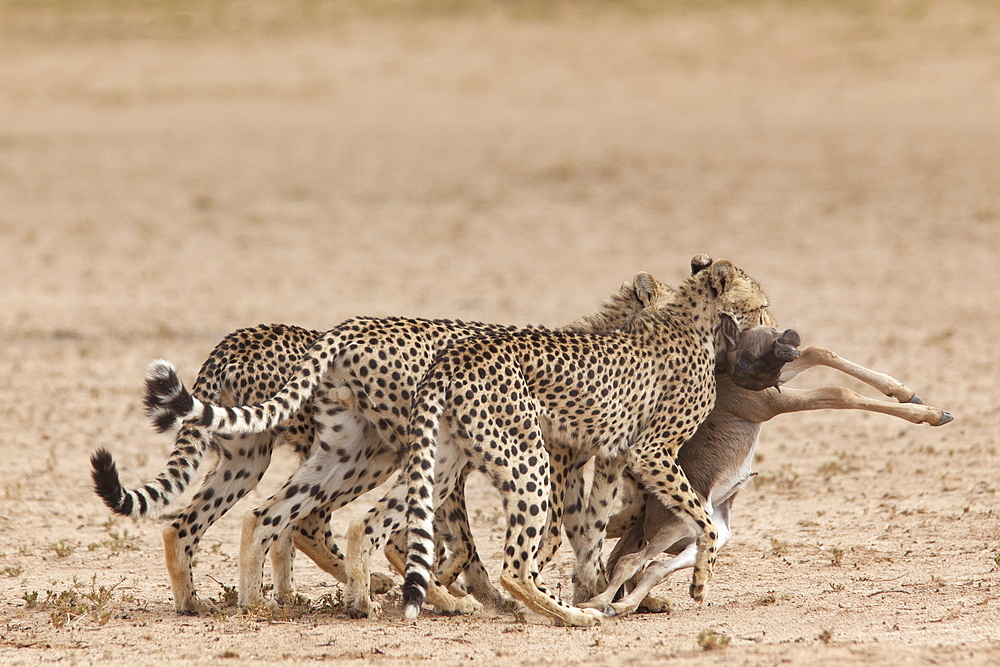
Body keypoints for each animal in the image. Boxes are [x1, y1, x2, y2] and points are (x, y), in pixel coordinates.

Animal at [139, 272, 672, 616]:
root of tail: (239, 337)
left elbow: (584, 534)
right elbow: (533, 539)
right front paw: (489, 596)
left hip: (258, 456)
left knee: (214, 523)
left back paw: (210, 601)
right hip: (380, 453)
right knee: (320, 523)